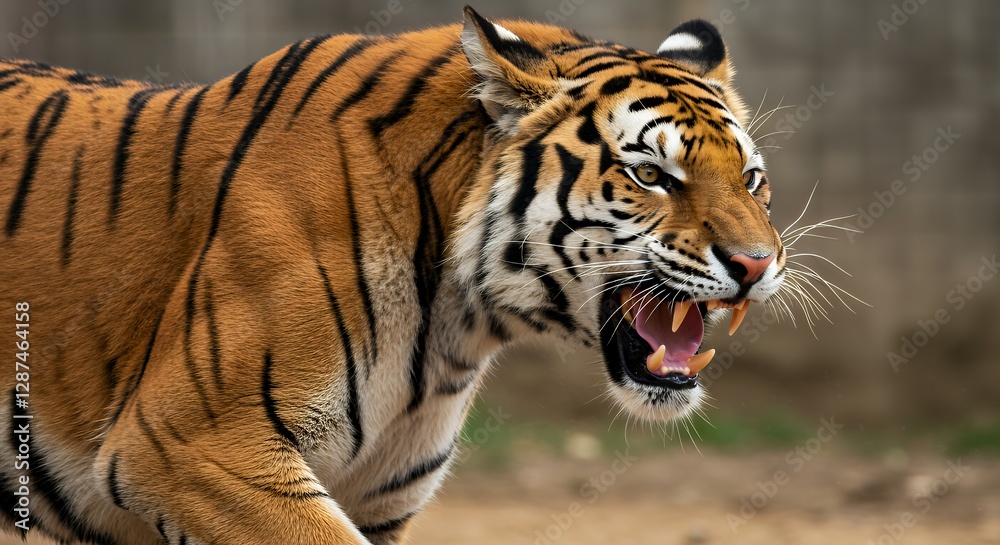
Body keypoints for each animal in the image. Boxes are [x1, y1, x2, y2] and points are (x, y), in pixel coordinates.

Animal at [0, 6, 785, 544]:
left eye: (751, 179)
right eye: (651, 175)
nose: (756, 263)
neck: (456, 327)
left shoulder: (376, 497)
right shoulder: (191, 442)